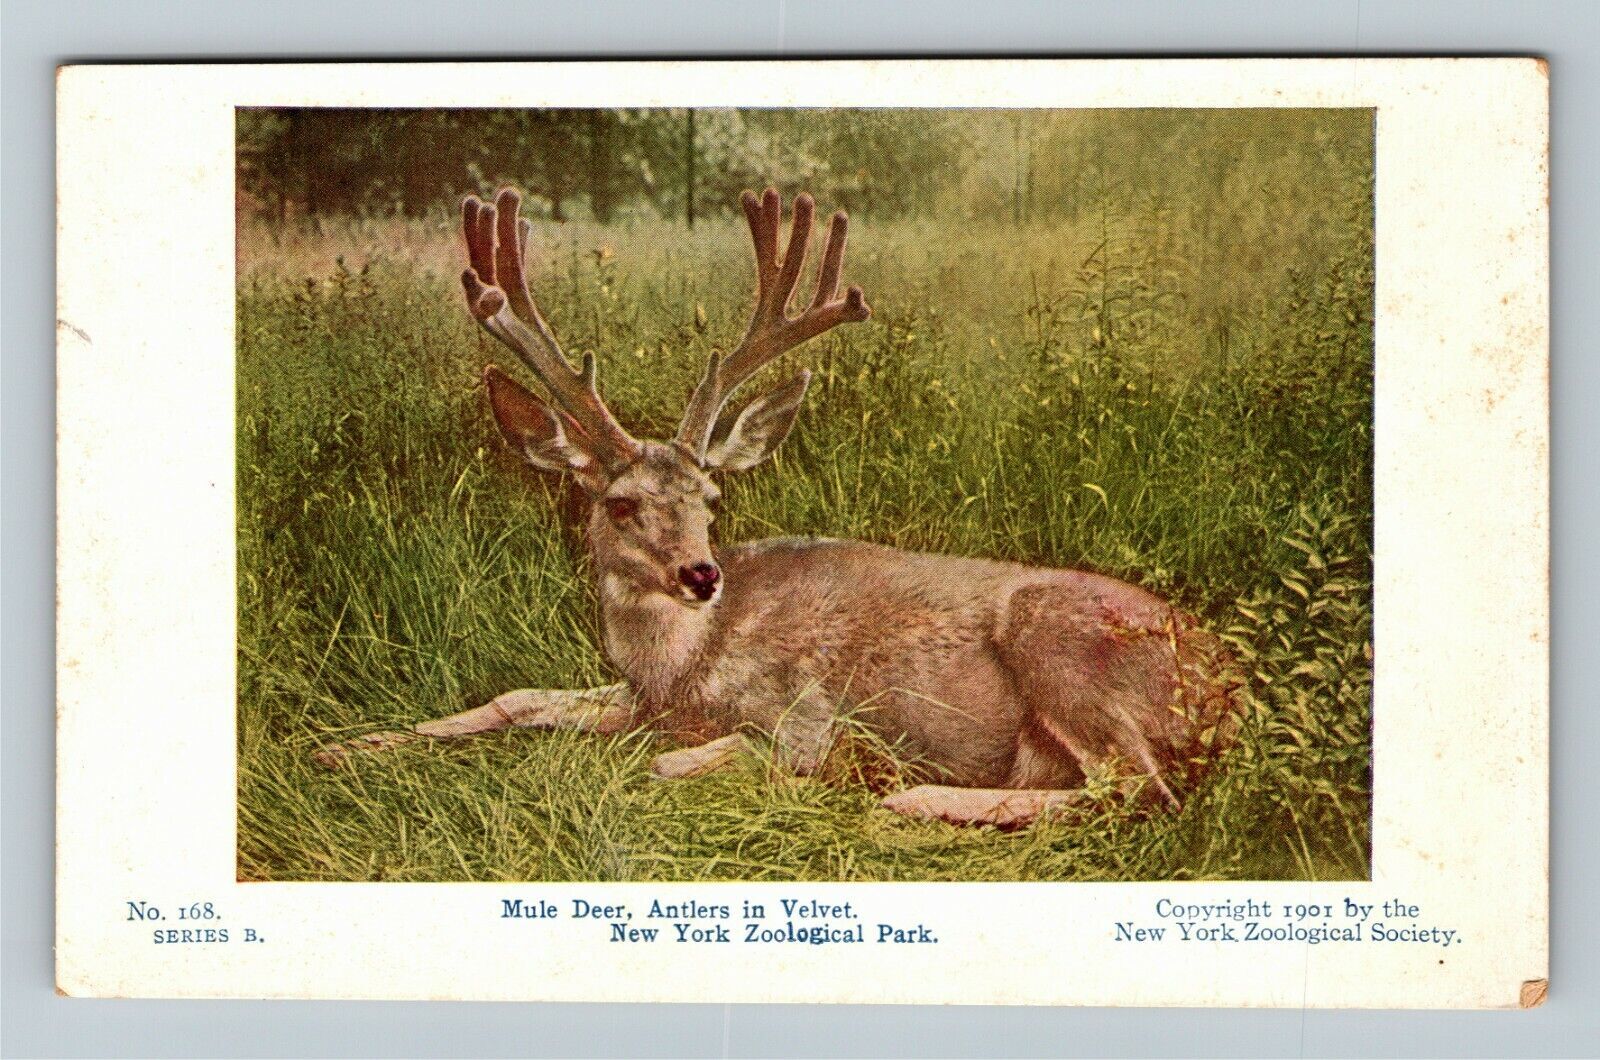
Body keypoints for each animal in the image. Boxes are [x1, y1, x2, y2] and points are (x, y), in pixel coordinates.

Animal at [313, 186, 1239, 828]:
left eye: (711, 497)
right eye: (620, 504)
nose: (701, 574)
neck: (682, 666)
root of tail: (1228, 686)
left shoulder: (804, 714)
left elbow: (671, 763)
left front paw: (857, 770)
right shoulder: (635, 696)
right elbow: (516, 699)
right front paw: (346, 746)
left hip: (1059, 645)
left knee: (1140, 788)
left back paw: (914, 801)